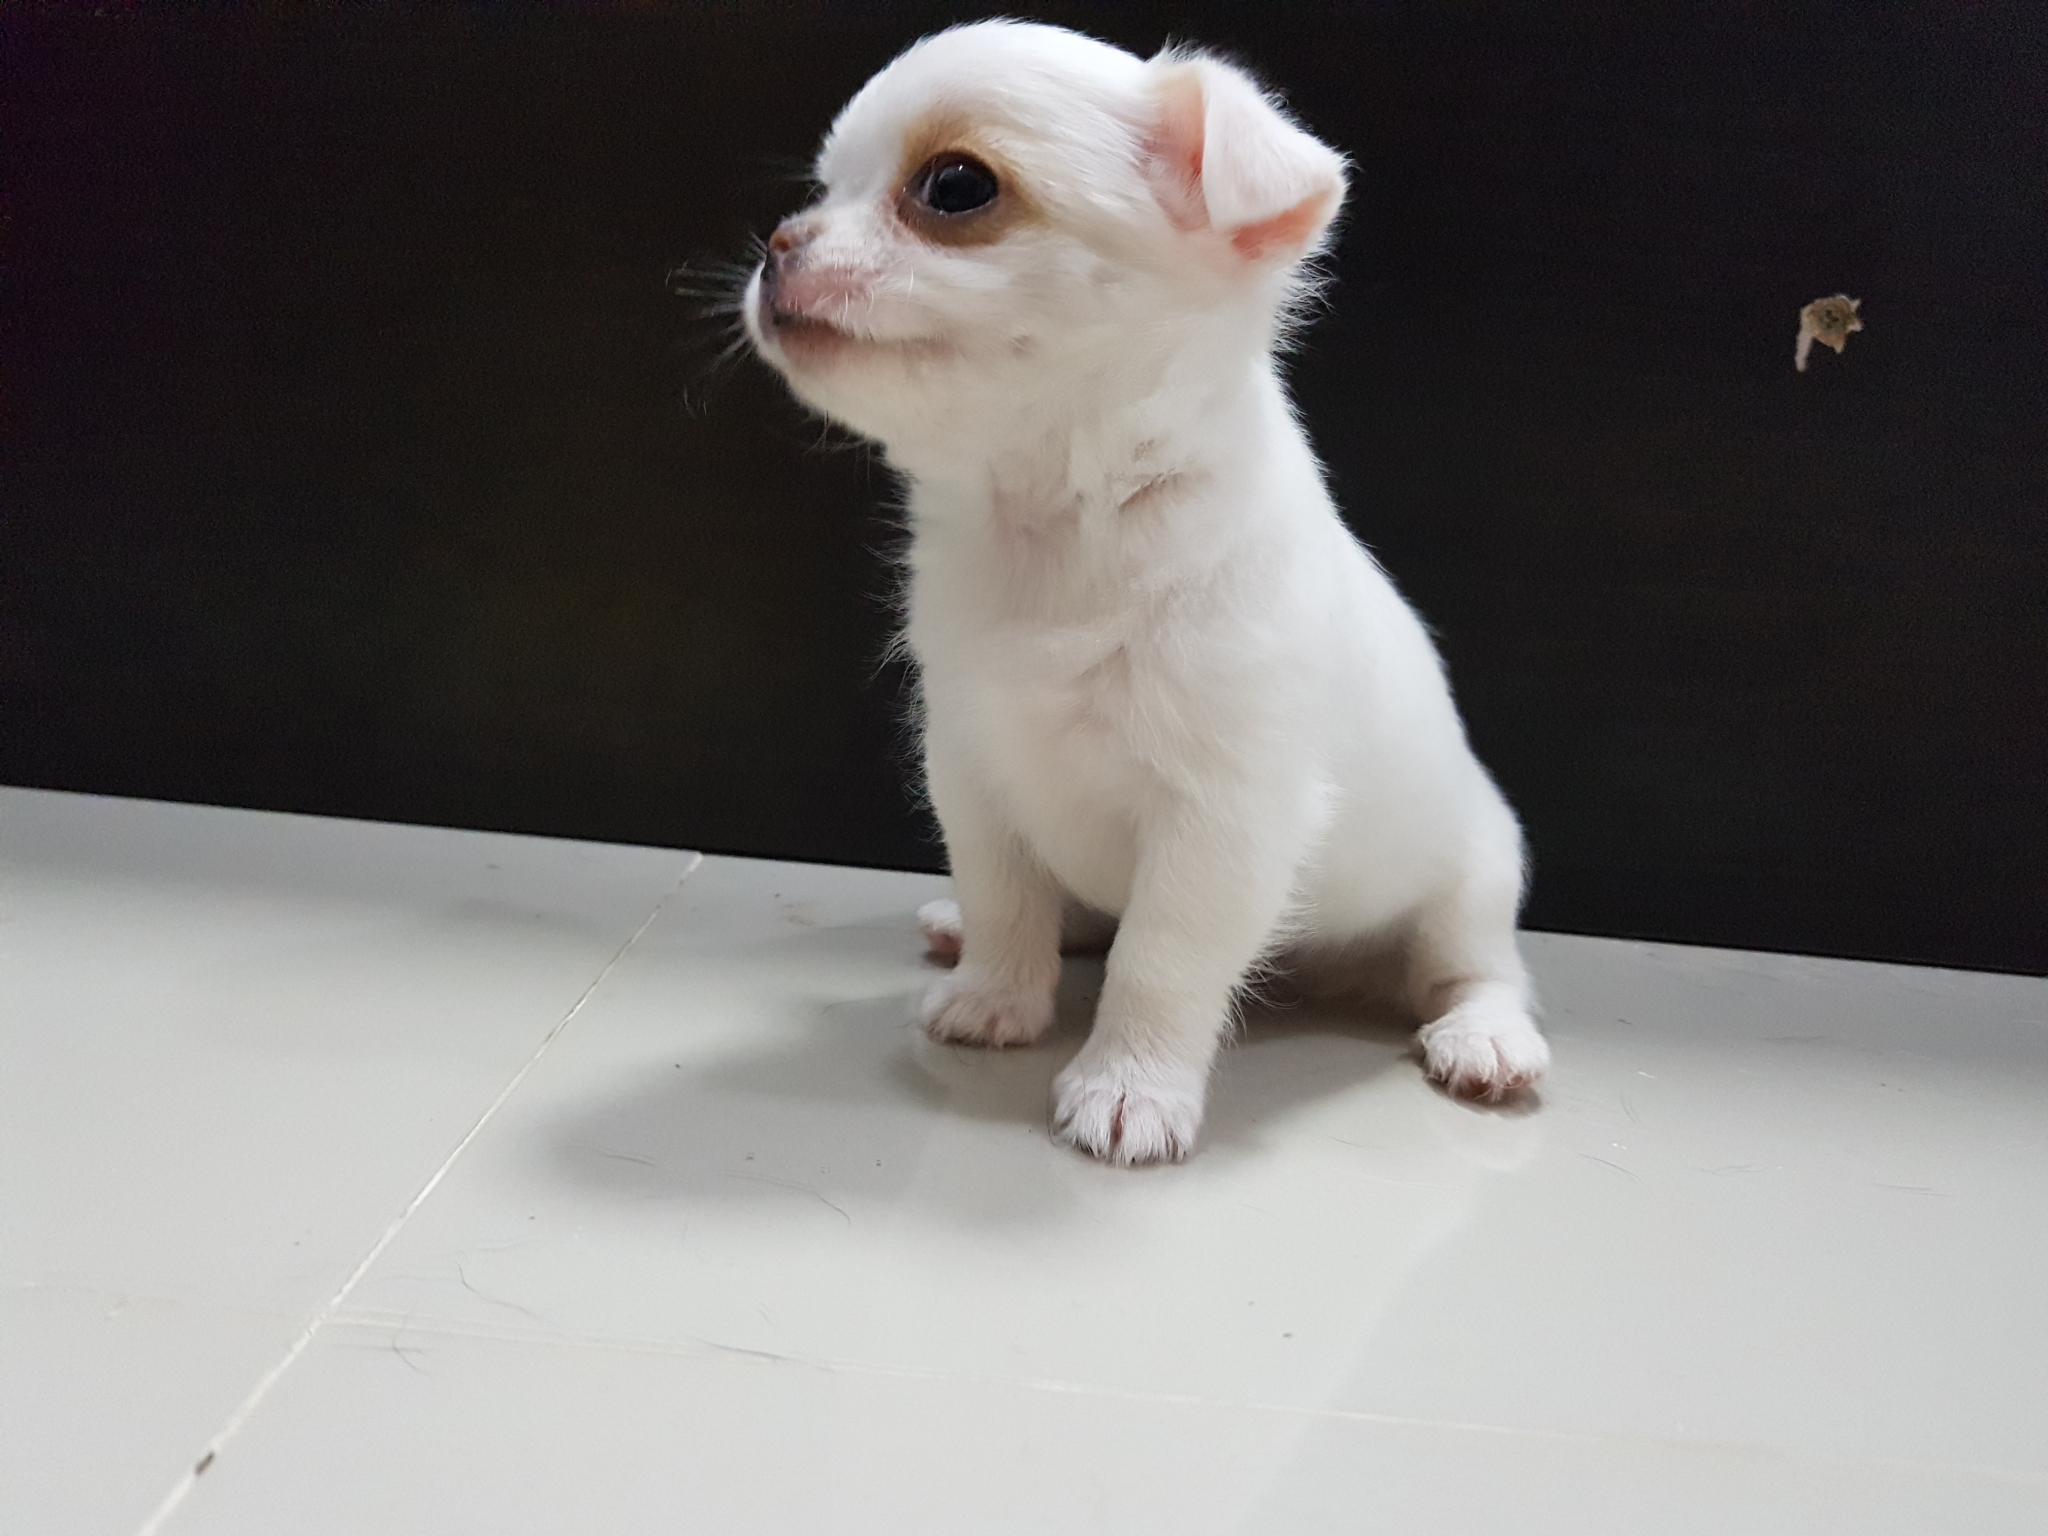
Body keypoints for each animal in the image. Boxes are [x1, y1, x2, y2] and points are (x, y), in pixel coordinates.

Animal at [745, 20, 1548, 1165]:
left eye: (953, 187)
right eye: (822, 189)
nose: (776, 244)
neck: (1055, 525)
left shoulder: (1219, 821)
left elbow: (1159, 962)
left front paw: (1129, 1086)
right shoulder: (971, 770)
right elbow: (1004, 895)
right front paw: (996, 996)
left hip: (1471, 878)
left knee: (1478, 969)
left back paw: (1484, 1039)